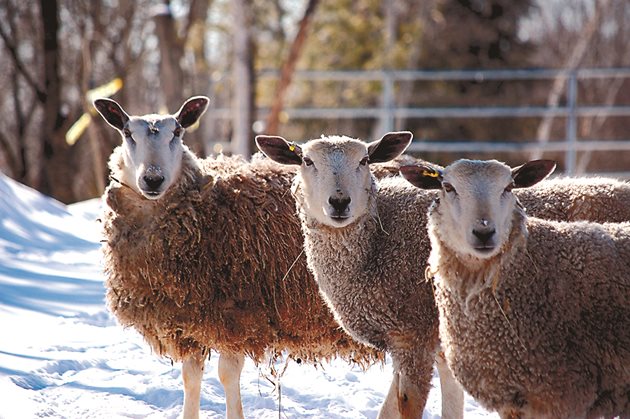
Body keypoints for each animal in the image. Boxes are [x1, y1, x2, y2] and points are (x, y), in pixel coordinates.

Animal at [92, 97, 386, 419]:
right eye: (127, 133)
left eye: (177, 132)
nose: (153, 179)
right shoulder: (188, 320)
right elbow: (190, 377)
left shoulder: (238, 315)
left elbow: (227, 375)